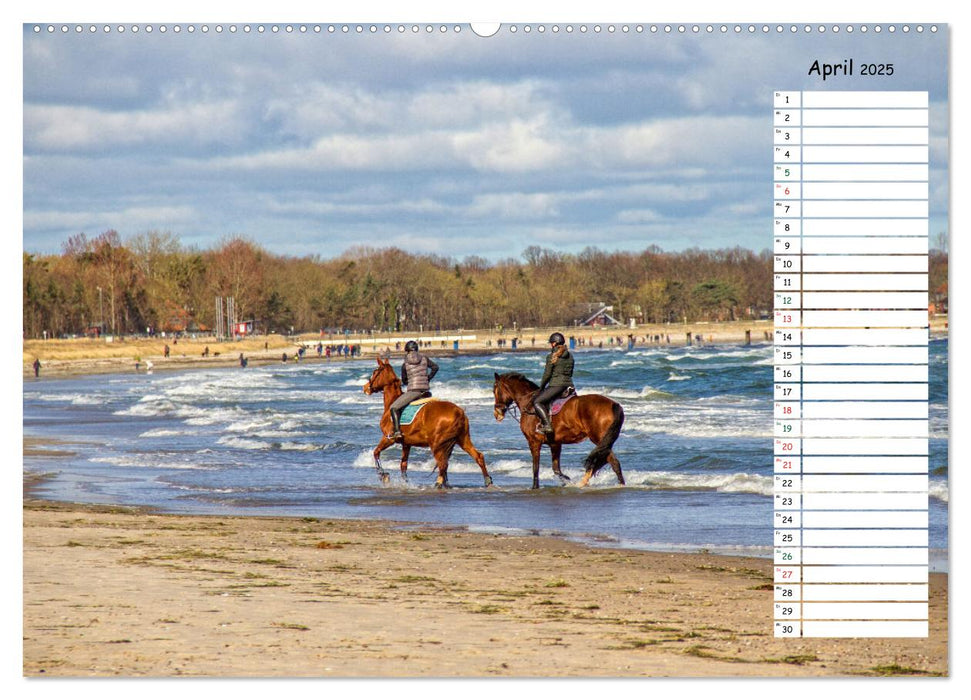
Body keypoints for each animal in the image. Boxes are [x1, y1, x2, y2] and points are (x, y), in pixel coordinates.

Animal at [362, 358, 494, 490]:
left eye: (375, 372)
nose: (365, 387)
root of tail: (459, 412)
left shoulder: (388, 438)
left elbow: (376, 452)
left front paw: (383, 475)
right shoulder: (406, 443)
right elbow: (403, 464)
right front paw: (405, 483)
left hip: (436, 444)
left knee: (443, 464)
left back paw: (439, 483)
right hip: (462, 439)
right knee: (478, 456)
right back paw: (487, 481)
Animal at [498, 372, 628, 486]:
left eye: (496, 389)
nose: (498, 412)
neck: (528, 403)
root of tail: (614, 404)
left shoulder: (534, 442)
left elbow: (536, 468)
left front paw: (535, 486)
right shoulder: (555, 443)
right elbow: (556, 469)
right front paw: (567, 481)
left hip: (598, 438)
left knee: (611, 461)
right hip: (604, 441)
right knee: (605, 461)